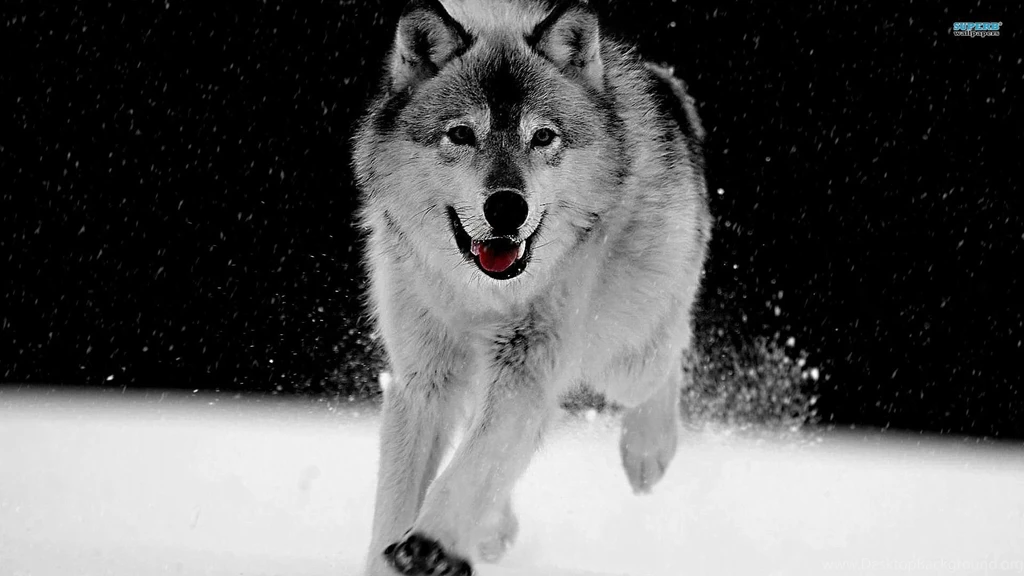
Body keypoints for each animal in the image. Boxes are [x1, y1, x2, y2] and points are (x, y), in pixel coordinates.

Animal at [352, 0, 711, 574]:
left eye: (542, 136)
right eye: (461, 134)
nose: (506, 206)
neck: (481, 295)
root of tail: (666, 84)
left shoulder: (529, 365)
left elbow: (474, 465)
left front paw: (431, 543)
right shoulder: (423, 379)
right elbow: (400, 498)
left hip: (622, 356)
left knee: (669, 351)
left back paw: (647, 452)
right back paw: (493, 531)